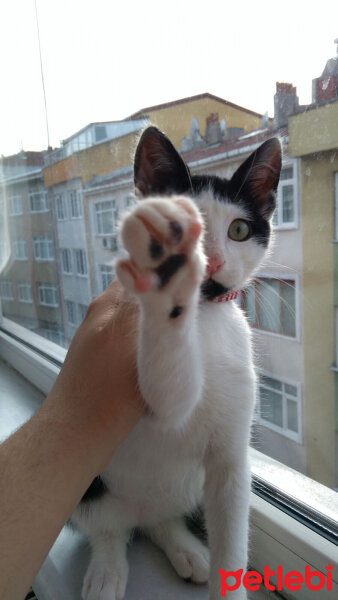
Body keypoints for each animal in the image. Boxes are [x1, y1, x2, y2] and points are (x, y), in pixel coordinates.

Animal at [72, 124, 282, 596]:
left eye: (239, 229)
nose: (213, 263)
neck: (203, 319)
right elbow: (168, 398)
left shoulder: (231, 459)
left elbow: (232, 537)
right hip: (92, 482)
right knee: (107, 526)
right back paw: (106, 570)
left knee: (159, 520)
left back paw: (186, 549)